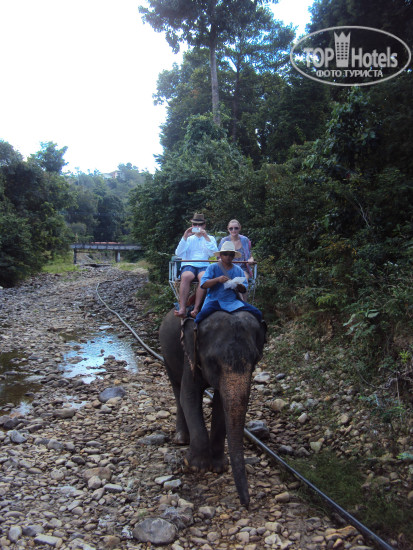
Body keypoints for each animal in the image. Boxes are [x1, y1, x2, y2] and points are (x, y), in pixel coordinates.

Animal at [158, 308, 267, 507]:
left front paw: (219, 467)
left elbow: (221, 403)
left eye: (256, 359)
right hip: (166, 353)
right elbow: (189, 397)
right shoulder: (190, 356)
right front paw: (196, 466)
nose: (246, 504)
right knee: (177, 389)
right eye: (212, 360)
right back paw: (181, 439)